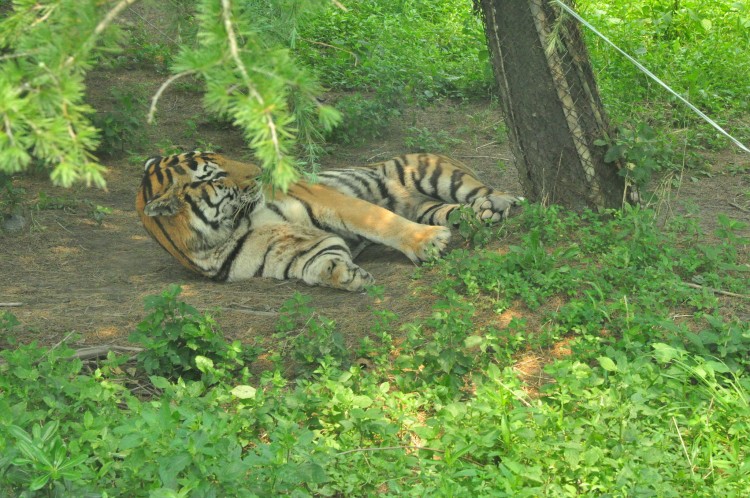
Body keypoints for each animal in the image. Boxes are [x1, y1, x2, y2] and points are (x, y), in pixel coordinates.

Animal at [135, 152, 524, 292]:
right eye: (215, 175)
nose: (260, 172)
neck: (225, 231)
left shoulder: (325, 199)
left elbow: (381, 221)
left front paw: (428, 242)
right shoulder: (282, 250)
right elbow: (317, 259)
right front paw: (343, 274)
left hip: (432, 172)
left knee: (486, 189)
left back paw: (499, 204)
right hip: (428, 204)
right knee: (455, 211)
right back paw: (482, 214)